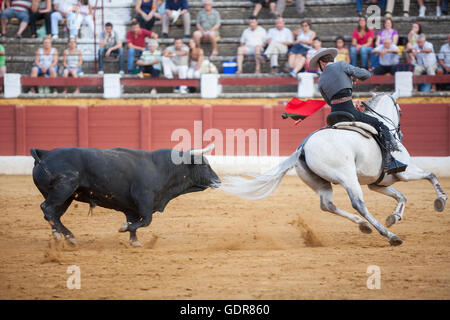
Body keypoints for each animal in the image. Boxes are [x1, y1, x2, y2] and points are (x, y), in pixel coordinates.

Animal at [30, 146, 221, 246]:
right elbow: (146, 221)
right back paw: (67, 236)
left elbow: (134, 222)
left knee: (53, 214)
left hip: (66, 197)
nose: (218, 181)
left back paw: (62, 236)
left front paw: (134, 241)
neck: (161, 168)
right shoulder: (144, 200)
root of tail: (45, 153)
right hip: (64, 189)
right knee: (47, 208)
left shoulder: (132, 208)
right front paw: (123, 229)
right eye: (204, 165)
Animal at [221, 91, 446, 246]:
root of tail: (303, 148)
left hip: (320, 182)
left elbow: (402, 196)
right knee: (358, 203)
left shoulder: (378, 183)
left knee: (327, 204)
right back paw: (389, 236)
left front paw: (394, 217)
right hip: (348, 177)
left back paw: (364, 225)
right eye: (401, 109)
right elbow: (431, 175)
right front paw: (440, 201)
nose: (401, 132)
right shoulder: (405, 172)